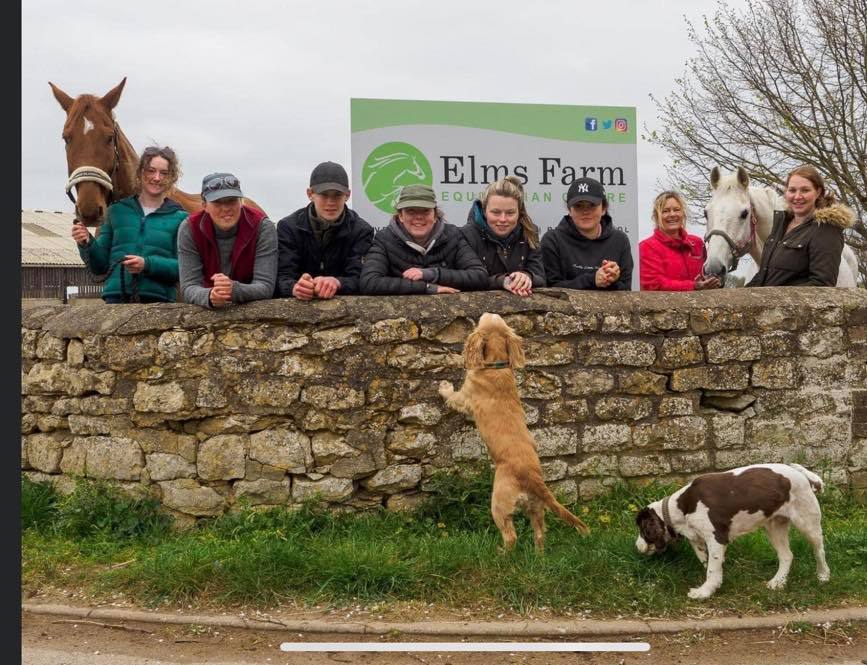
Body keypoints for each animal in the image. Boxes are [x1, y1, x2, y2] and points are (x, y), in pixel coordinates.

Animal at [440, 312, 588, 548]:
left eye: (486, 318)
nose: (487, 312)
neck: (496, 365)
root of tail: (533, 478)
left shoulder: (465, 396)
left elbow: (452, 396)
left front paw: (443, 386)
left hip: (499, 504)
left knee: (511, 536)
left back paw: (501, 552)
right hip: (536, 507)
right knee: (539, 534)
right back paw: (537, 554)